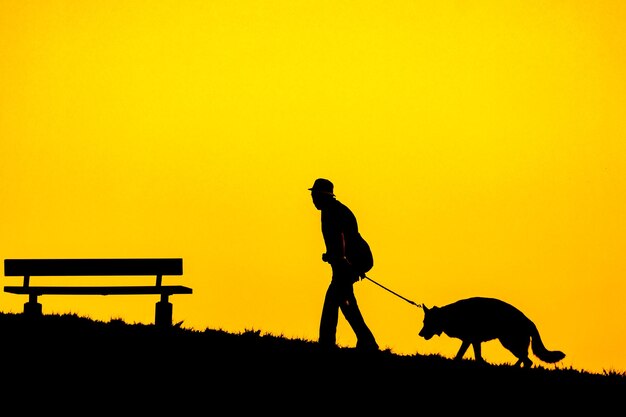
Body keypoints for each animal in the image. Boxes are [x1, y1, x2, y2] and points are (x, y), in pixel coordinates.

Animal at [416, 296, 564, 368]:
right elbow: (472, 356)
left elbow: (463, 355)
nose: (420, 334)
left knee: (527, 360)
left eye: (427, 323)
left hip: (509, 343)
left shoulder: (470, 340)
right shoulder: (473, 341)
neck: (450, 315)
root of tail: (529, 321)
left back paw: (513, 368)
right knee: (527, 360)